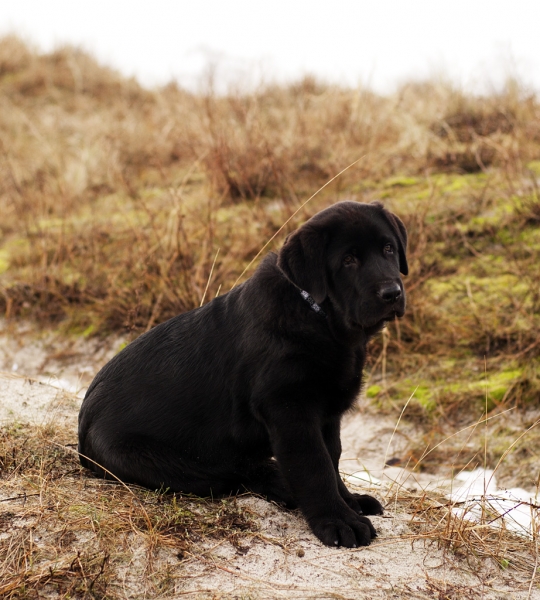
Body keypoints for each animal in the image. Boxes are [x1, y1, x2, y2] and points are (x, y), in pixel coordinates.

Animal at [79, 202, 410, 548]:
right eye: (348, 260)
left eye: (388, 248)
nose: (392, 293)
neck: (319, 316)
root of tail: (82, 424)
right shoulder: (289, 410)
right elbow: (315, 467)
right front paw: (337, 520)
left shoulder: (327, 415)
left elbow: (332, 459)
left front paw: (349, 501)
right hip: (165, 463)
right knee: (236, 474)